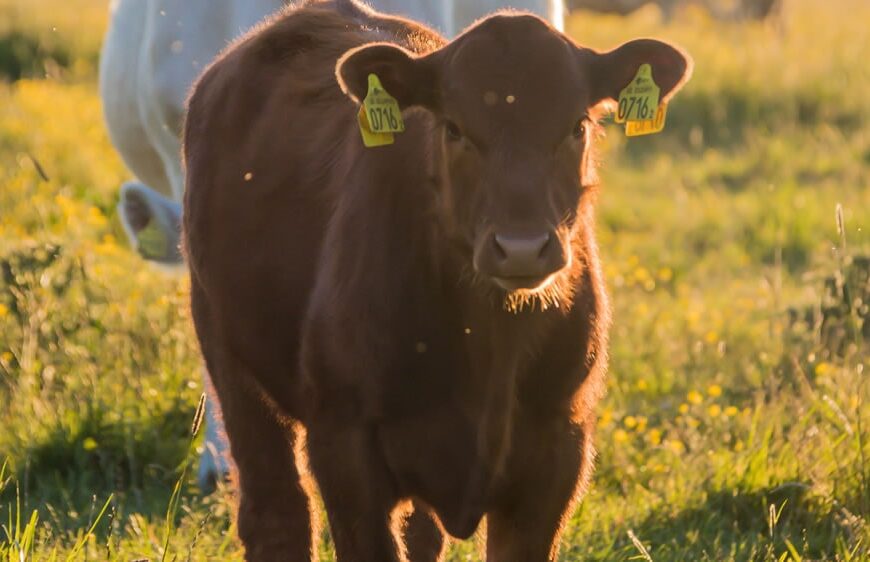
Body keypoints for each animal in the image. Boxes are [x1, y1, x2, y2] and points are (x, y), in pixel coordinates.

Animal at [182, 2, 696, 556]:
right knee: (277, 510)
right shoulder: (344, 445)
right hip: (229, 360)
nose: (521, 247)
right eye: (454, 129)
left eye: (577, 126)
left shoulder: (560, 446)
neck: (489, 345)